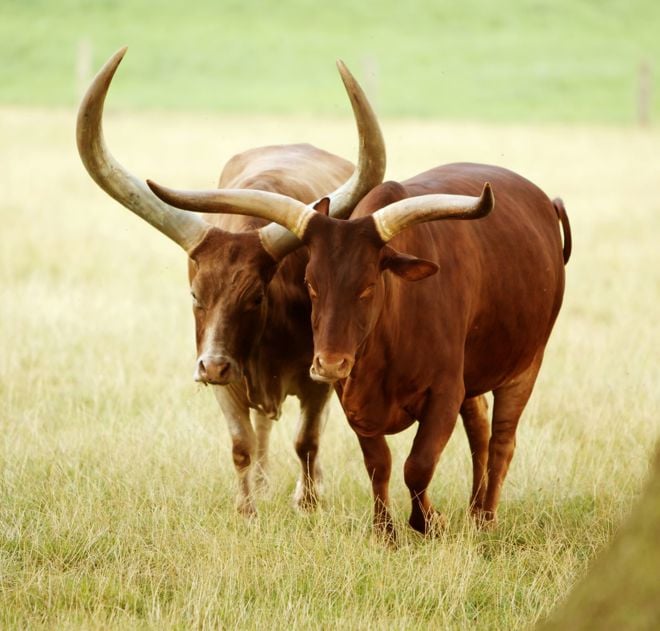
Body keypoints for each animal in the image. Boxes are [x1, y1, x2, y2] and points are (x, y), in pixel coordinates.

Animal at [76, 48, 386, 520]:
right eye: (195, 294)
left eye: (255, 296)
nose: (213, 366)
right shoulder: (227, 379)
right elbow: (241, 444)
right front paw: (247, 509)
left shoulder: (321, 374)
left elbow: (307, 441)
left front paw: (308, 502)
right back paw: (261, 482)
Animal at [150, 160, 572, 540]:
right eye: (310, 283)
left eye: (367, 286)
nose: (330, 364)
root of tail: (543, 200)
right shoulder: (353, 399)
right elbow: (379, 464)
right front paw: (384, 531)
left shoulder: (444, 393)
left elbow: (418, 464)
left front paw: (428, 523)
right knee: (480, 429)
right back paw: (472, 510)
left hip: (526, 365)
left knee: (501, 440)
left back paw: (485, 519)